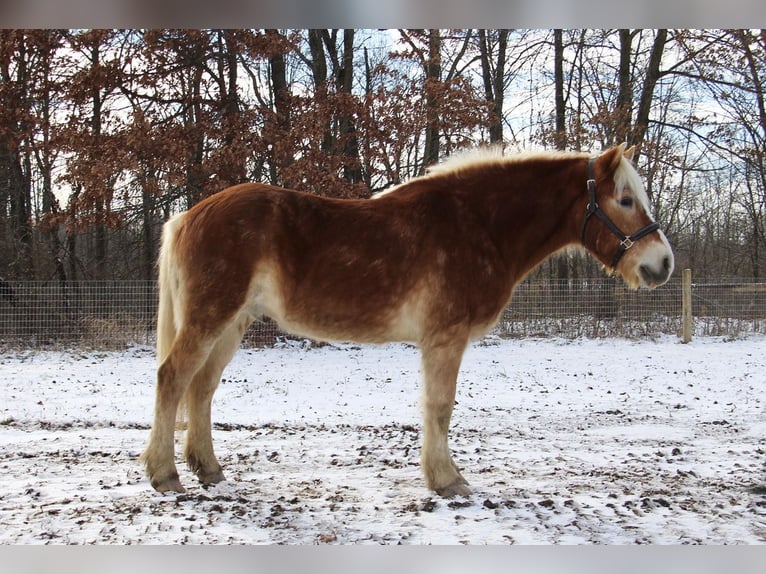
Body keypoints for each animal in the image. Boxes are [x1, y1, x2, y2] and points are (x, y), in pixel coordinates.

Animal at [141, 144, 676, 500]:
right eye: (625, 200)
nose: (663, 263)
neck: (477, 224)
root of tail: (186, 216)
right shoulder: (445, 338)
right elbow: (440, 407)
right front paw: (448, 480)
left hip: (233, 323)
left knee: (201, 388)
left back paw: (208, 469)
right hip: (211, 318)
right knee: (172, 379)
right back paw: (165, 475)